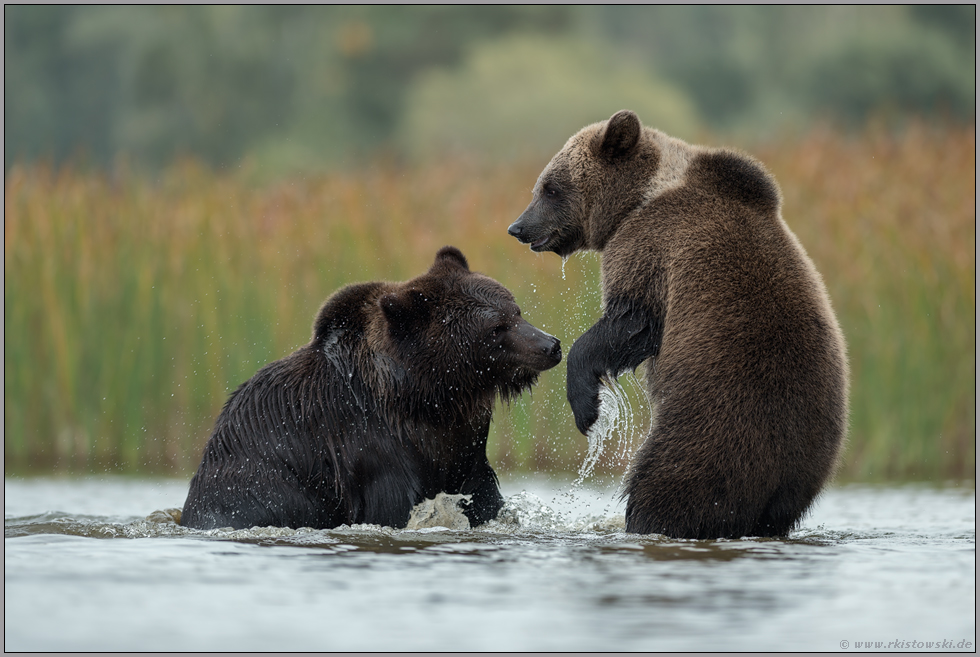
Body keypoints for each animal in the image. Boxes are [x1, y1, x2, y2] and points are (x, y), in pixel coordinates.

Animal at [180, 246, 562, 530]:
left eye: (516, 311)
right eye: (495, 328)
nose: (550, 345)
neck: (429, 397)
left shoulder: (464, 449)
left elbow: (483, 498)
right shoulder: (371, 447)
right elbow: (391, 507)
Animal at [508, 109, 848, 539]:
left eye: (551, 188)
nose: (518, 227)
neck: (636, 200)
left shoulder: (650, 247)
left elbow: (631, 322)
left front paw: (586, 407)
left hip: (713, 429)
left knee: (669, 486)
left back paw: (643, 518)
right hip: (805, 465)